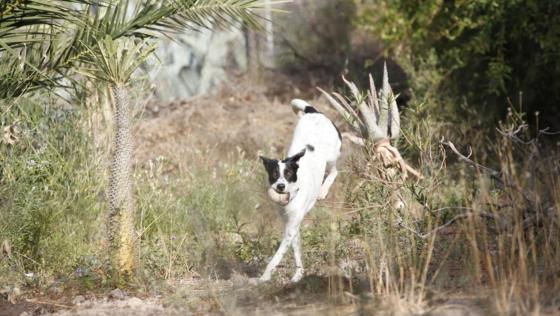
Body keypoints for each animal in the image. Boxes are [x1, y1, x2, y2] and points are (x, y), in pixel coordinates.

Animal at [258, 99, 342, 282]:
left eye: (289, 174)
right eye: (274, 174)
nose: (280, 186)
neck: (292, 195)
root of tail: (315, 112)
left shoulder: (290, 229)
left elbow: (276, 257)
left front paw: (265, 277)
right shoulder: (291, 225)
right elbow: (296, 250)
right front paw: (298, 274)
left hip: (331, 156)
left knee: (334, 171)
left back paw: (323, 191)